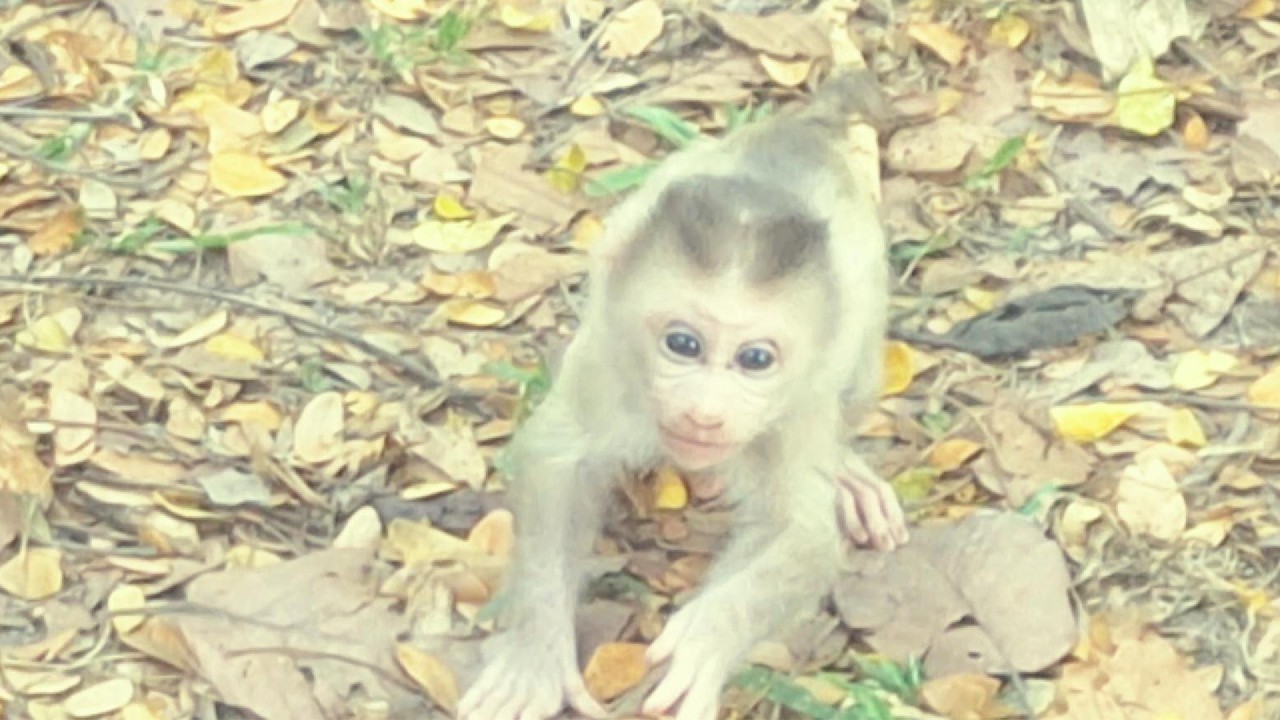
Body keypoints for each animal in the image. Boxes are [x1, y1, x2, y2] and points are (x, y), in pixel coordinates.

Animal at [458, 70, 907, 720]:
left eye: (755, 360)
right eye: (682, 344)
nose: (705, 412)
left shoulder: (796, 406)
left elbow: (801, 534)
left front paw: (708, 637)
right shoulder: (610, 357)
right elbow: (556, 460)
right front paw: (534, 651)